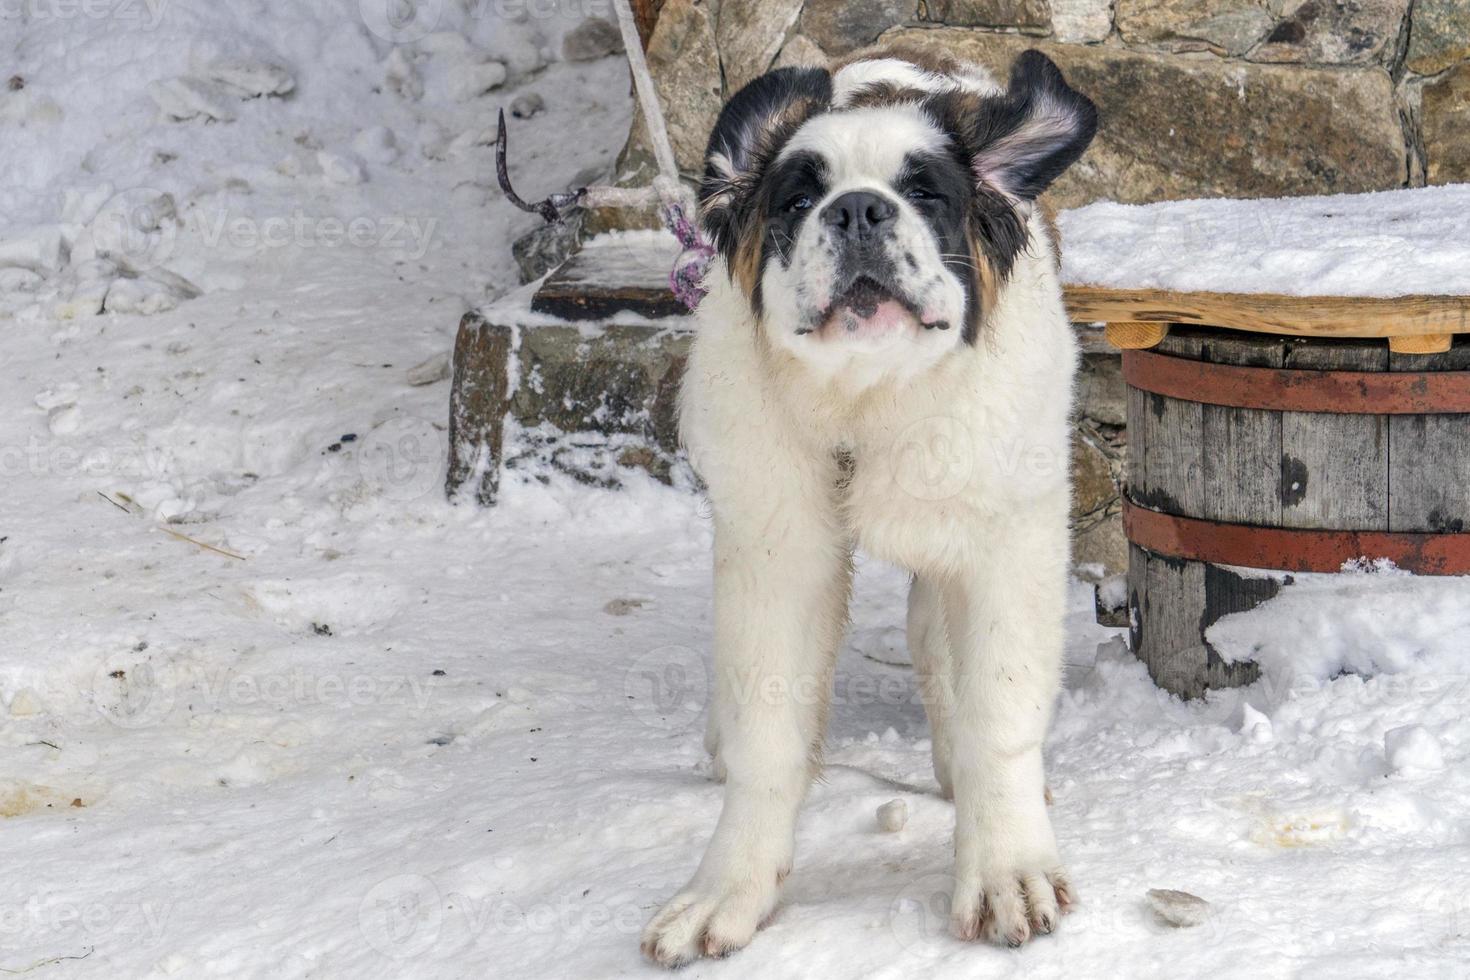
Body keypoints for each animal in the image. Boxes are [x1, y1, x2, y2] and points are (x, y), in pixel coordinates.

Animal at [640, 44, 1093, 963]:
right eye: (797, 199)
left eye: (926, 194)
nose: (857, 210)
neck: (868, 403)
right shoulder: (775, 544)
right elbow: (768, 731)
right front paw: (728, 889)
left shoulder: (1007, 537)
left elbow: (1001, 706)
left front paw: (1007, 869)